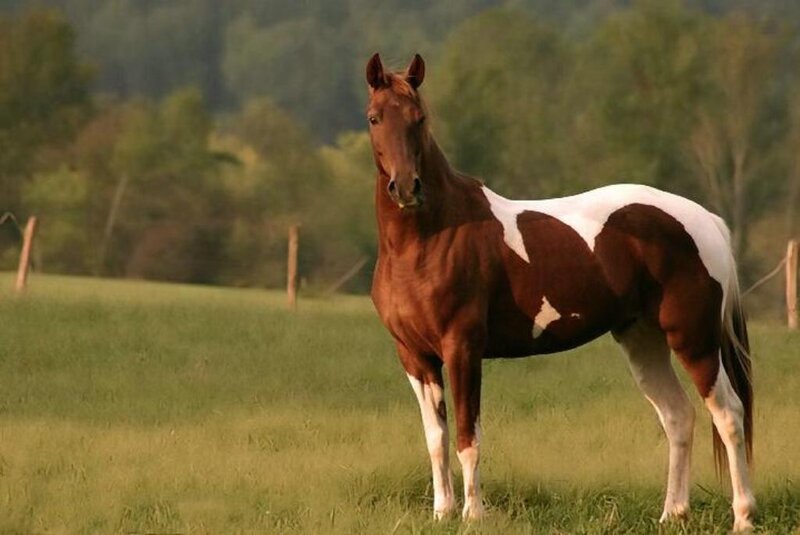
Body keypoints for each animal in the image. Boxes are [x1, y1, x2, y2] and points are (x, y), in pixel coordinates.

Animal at [365, 53, 755, 532]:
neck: (429, 238)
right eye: (375, 118)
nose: (406, 188)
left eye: (419, 118)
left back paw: (743, 517)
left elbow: (468, 435)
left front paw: (473, 515)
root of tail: (706, 220)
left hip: (694, 340)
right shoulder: (415, 357)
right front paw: (442, 513)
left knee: (729, 415)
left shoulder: (463, 348)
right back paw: (671, 514)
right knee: (678, 417)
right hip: (643, 340)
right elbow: (436, 438)